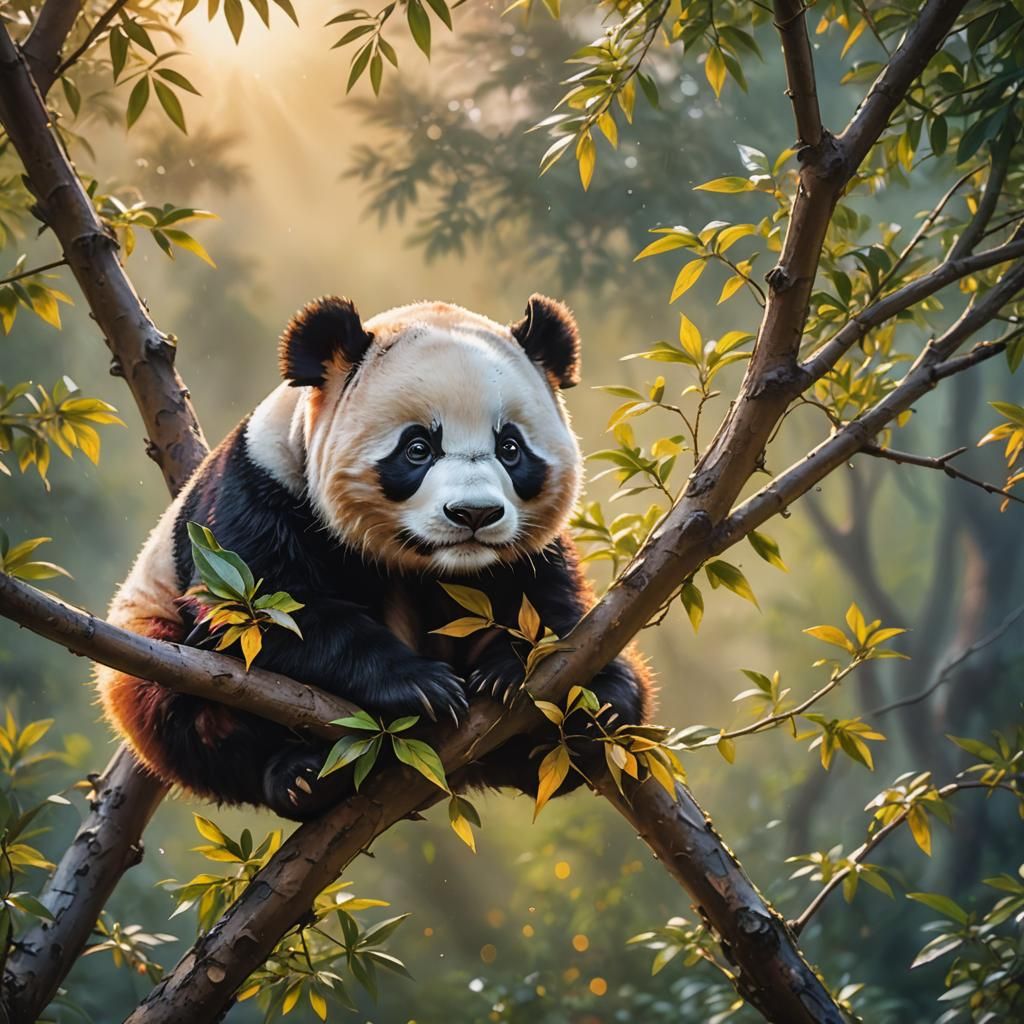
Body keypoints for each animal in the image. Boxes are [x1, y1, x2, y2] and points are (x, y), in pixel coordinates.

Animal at [96, 295, 653, 820]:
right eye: (418, 448)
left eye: (510, 448)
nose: (474, 513)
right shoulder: (259, 488)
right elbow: (260, 613)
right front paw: (421, 685)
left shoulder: (527, 549)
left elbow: (549, 602)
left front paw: (508, 668)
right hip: (153, 643)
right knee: (183, 716)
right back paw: (302, 779)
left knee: (619, 688)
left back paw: (596, 716)